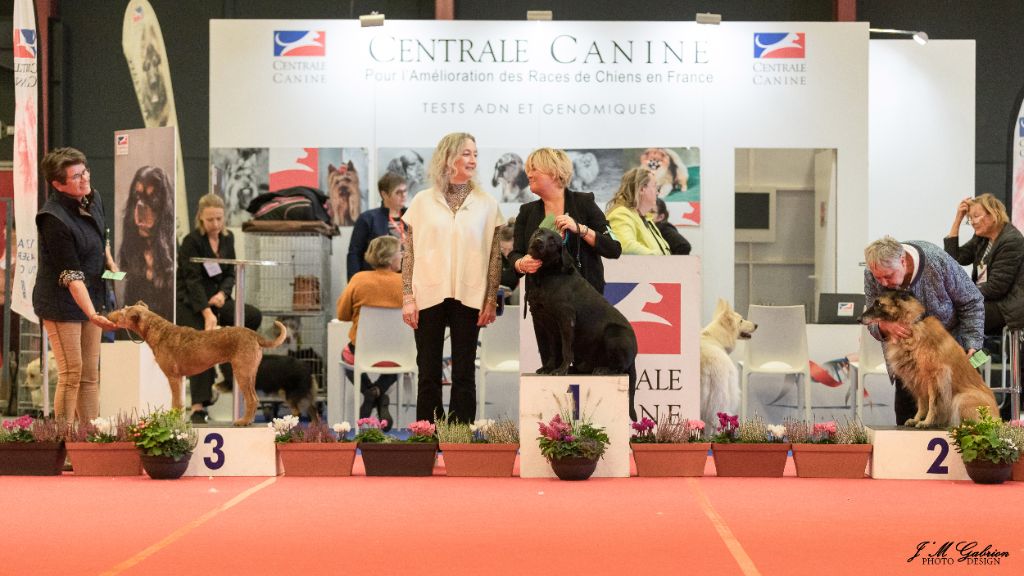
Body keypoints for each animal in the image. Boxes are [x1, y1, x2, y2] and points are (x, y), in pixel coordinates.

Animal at [107, 302, 287, 426]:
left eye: (122, 312)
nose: (108, 315)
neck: (158, 331)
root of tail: (255, 335)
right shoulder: (180, 378)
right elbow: (179, 403)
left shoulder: (173, 376)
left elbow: (176, 402)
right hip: (251, 372)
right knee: (255, 398)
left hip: (241, 372)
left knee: (252, 399)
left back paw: (243, 421)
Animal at [525, 228, 639, 418]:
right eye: (539, 233)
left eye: (553, 240)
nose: (538, 241)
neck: (546, 274)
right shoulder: (545, 321)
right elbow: (552, 350)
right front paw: (548, 368)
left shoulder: (566, 318)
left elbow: (565, 349)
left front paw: (561, 370)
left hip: (614, 334)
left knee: (620, 367)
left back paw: (603, 369)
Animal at [859, 290, 998, 428]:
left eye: (879, 304)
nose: (858, 319)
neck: (912, 325)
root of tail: (998, 418)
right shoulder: (917, 379)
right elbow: (922, 403)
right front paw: (916, 419)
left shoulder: (935, 378)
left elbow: (932, 403)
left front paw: (927, 422)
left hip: (962, 398)